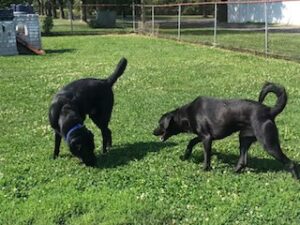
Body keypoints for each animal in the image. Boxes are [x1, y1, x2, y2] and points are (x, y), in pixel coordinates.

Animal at [154, 82, 298, 179]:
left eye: (160, 124)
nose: (153, 132)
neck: (188, 113)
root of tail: (269, 111)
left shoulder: (207, 138)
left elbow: (206, 156)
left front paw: (205, 169)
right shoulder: (204, 136)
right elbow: (191, 142)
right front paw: (185, 156)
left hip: (269, 144)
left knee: (291, 163)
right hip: (244, 138)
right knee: (243, 161)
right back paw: (233, 171)